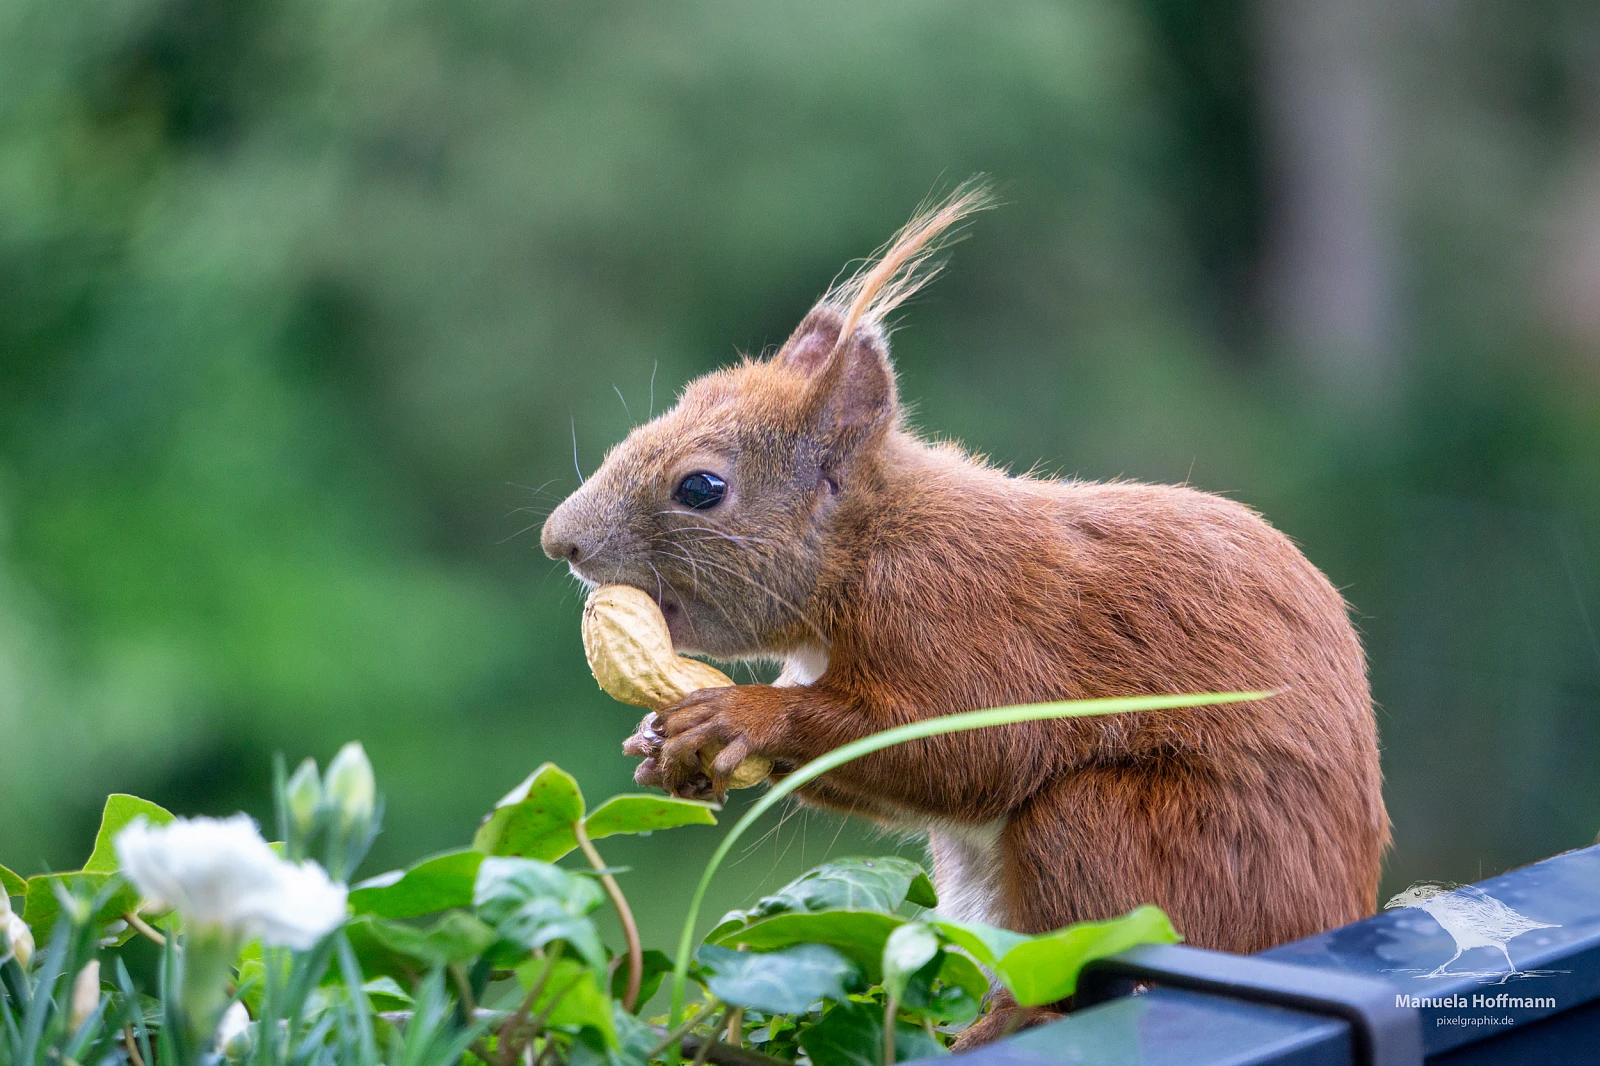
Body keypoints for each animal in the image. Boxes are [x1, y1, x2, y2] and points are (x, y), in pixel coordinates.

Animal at [540, 184, 1389, 1043]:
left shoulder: (966, 623)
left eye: (701, 487)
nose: (559, 541)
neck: (870, 550)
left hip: (1114, 832)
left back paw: (1008, 1019)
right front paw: (660, 747)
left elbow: (973, 752)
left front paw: (739, 715)